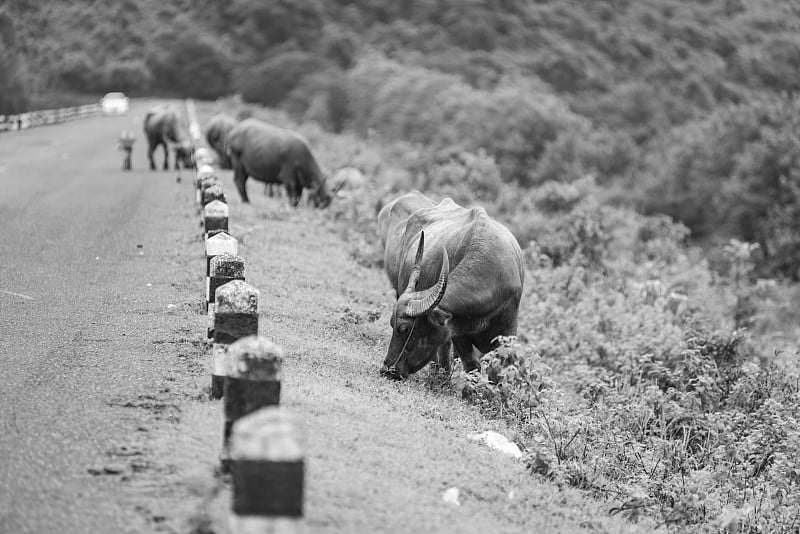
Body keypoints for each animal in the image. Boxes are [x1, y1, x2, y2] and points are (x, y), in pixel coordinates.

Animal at [380, 193, 524, 382]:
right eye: (391, 324)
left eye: (404, 329)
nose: (386, 369)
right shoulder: (458, 333)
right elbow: (472, 366)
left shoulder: (508, 333)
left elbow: (495, 373)